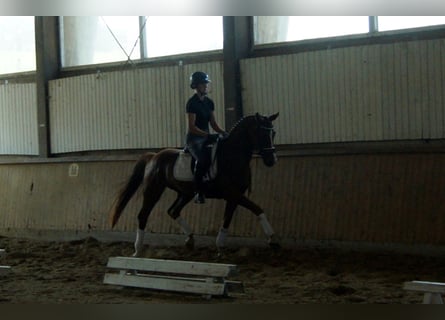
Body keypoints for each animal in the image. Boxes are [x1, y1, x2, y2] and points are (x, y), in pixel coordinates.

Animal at [109, 111, 280, 256]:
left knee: (173, 211)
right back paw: (138, 250)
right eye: (261, 133)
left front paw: (220, 246)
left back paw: (190, 240)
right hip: (153, 190)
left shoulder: (234, 196)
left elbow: (227, 219)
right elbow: (257, 209)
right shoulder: (232, 193)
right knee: (143, 215)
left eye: (273, 133)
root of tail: (154, 156)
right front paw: (273, 239)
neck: (231, 156)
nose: (271, 161)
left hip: (185, 193)